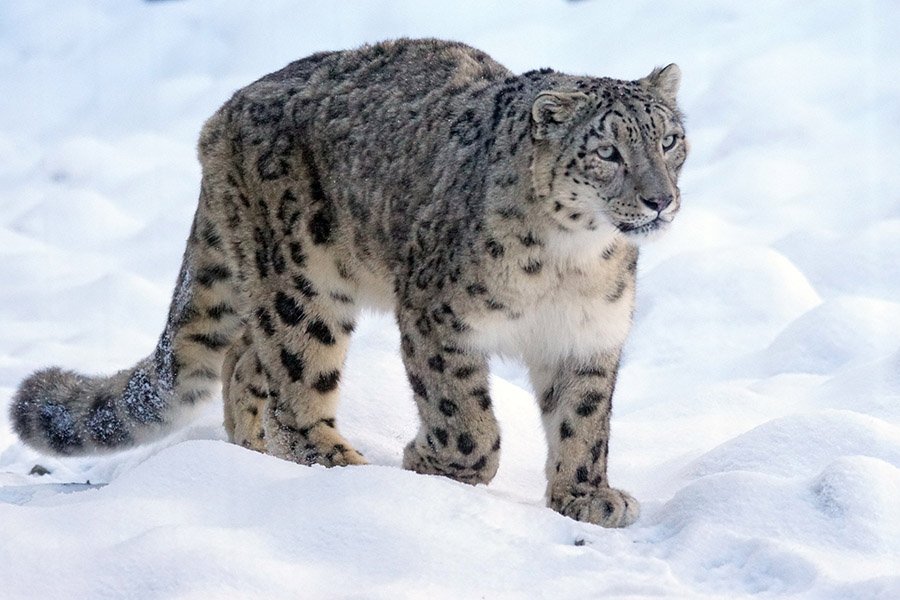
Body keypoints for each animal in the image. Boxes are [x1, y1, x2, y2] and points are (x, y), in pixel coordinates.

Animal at [10, 38, 687, 528]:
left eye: (670, 139)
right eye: (608, 152)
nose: (660, 199)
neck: (573, 261)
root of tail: (224, 113)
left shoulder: (588, 336)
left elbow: (584, 421)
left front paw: (587, 496)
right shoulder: (438, 317)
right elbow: (465, 416)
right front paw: (433, 462)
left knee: (244, 359)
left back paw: (252, 453)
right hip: (302, 282)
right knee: (292, 377)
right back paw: (334, 462)